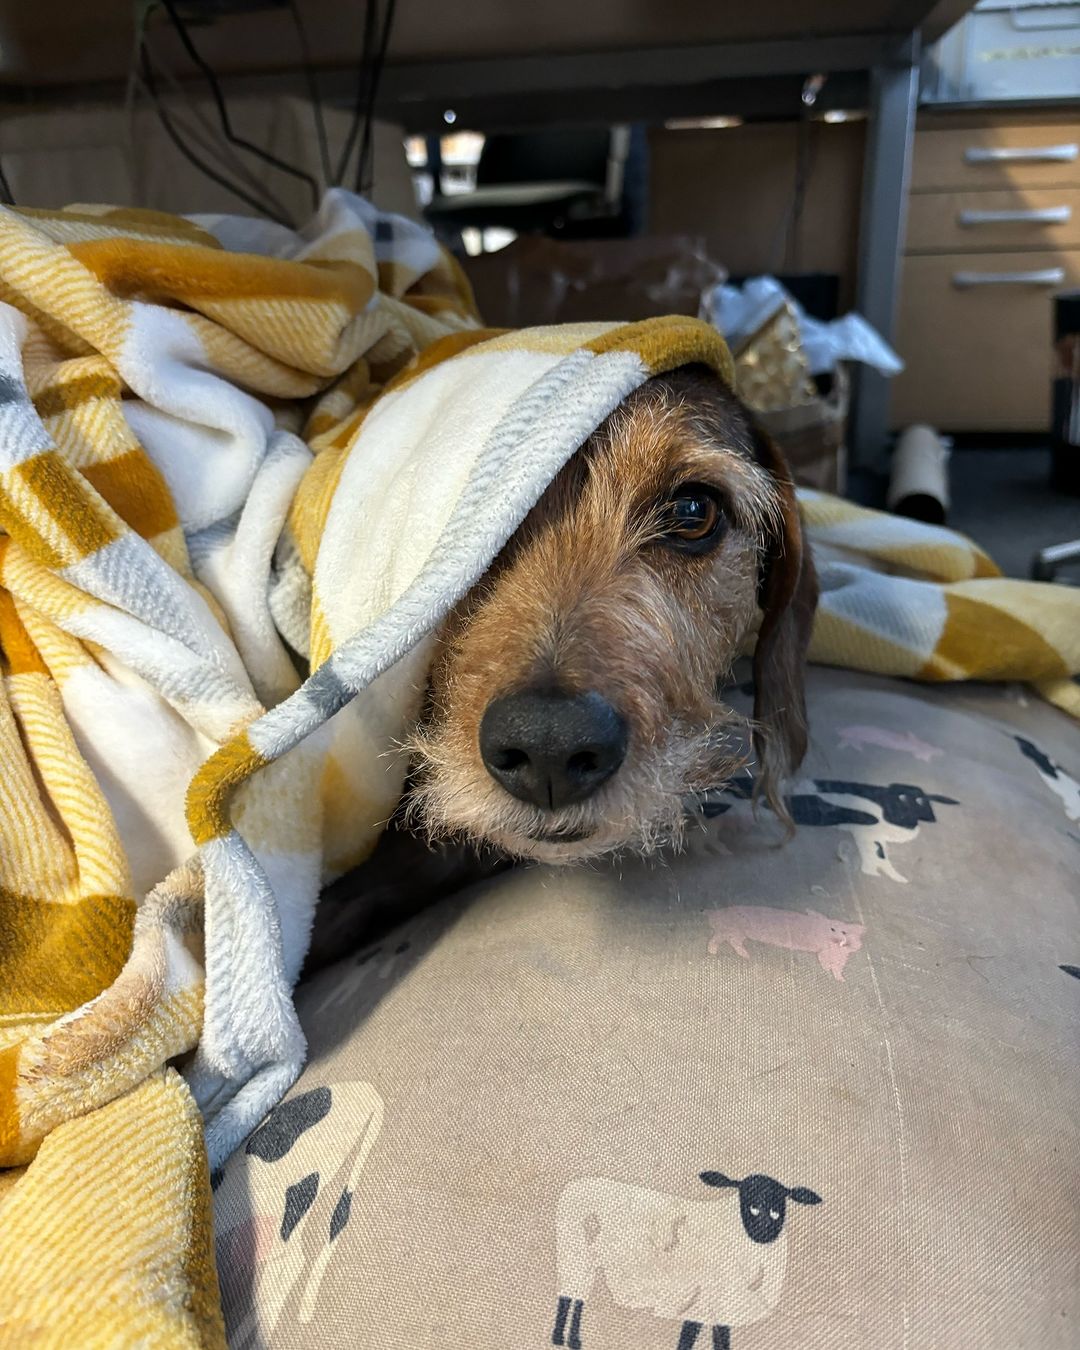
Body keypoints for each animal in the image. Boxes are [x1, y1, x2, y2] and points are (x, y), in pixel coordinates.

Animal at [553, 1166, 820, 1344]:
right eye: (746, 1196)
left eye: (782, 1202)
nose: (765, 1229)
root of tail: (574, 1186)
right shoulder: (702, 1301)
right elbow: (690, 1338)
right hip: (574, 1255)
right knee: (569, 1297)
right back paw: (562, 1339)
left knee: (578, 1297)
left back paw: (571, 1340)